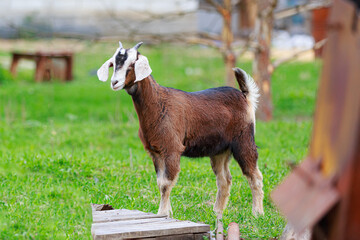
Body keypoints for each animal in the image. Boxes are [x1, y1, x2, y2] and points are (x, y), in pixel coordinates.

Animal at [97, 41, 262, 219]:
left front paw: (162, 213)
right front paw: (167, 213)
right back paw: (217, 212)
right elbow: (160, 182)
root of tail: (245, 96)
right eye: (114, 63)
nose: (114, 82)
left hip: (243, 140)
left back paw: (257, 213)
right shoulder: (155, 152)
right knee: (224, 179)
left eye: (132, 64)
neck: (158, 104)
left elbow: (166, 183)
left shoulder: (171, 149)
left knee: (254, 176)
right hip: (220, 150)